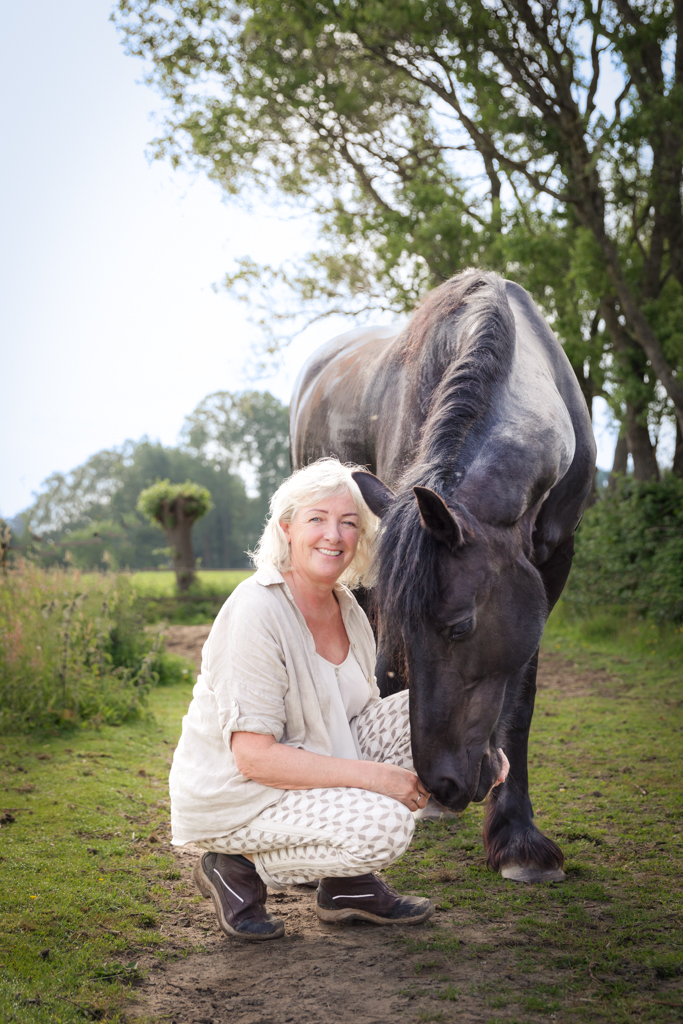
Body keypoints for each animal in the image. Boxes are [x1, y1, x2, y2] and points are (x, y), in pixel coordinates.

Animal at [289, 269, 596, 882]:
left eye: (460, 628)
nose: (445, 784)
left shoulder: (554, 563)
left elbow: (519, 703)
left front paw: (519, 840)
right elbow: (389, 672)